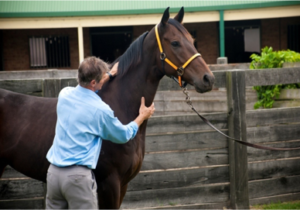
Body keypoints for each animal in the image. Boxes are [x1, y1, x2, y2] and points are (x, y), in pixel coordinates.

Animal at [0, 7, 216, 209]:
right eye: (175, 43)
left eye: (192, 40)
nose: (208, 79)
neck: (119, 104)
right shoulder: (109, 184)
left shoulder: (123, 184)